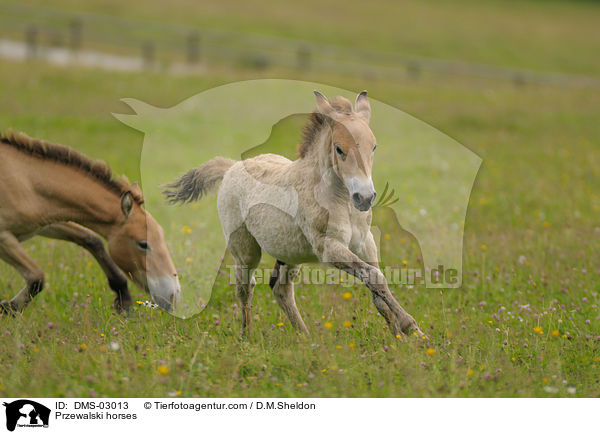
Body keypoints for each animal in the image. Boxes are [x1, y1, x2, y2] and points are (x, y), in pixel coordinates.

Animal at [0, 131, 180, 314]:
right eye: (143, 244)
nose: (173, 296)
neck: (25, 182)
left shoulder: (46, 223)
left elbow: (91, 240)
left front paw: (124, 300)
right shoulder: (4, 238)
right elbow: (36, 277)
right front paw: (8, 308)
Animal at [164, 90, 422, 336]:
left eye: (374, 147)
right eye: (339, 149)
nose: (365, 197)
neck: (340, 201)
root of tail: (231, 167)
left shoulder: (365, 242)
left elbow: (376, 284)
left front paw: (403, 334)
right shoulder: (329, 248)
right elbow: (375, 277)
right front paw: (409, 326)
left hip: (290, 254)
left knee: (280, 289)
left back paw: (306, 338)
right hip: (245, 250)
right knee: (245, 288)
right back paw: (247, 337)